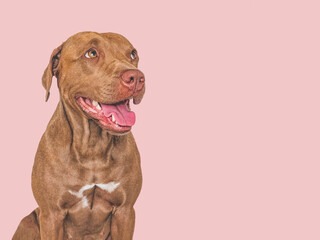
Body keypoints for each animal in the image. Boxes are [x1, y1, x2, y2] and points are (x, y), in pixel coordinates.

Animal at [12, 31, 145, 239]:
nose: (136, 77)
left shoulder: (125, 212)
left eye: (133, 54)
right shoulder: (51, 215)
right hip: (29, 222)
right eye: (91, 53)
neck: (92, 148)